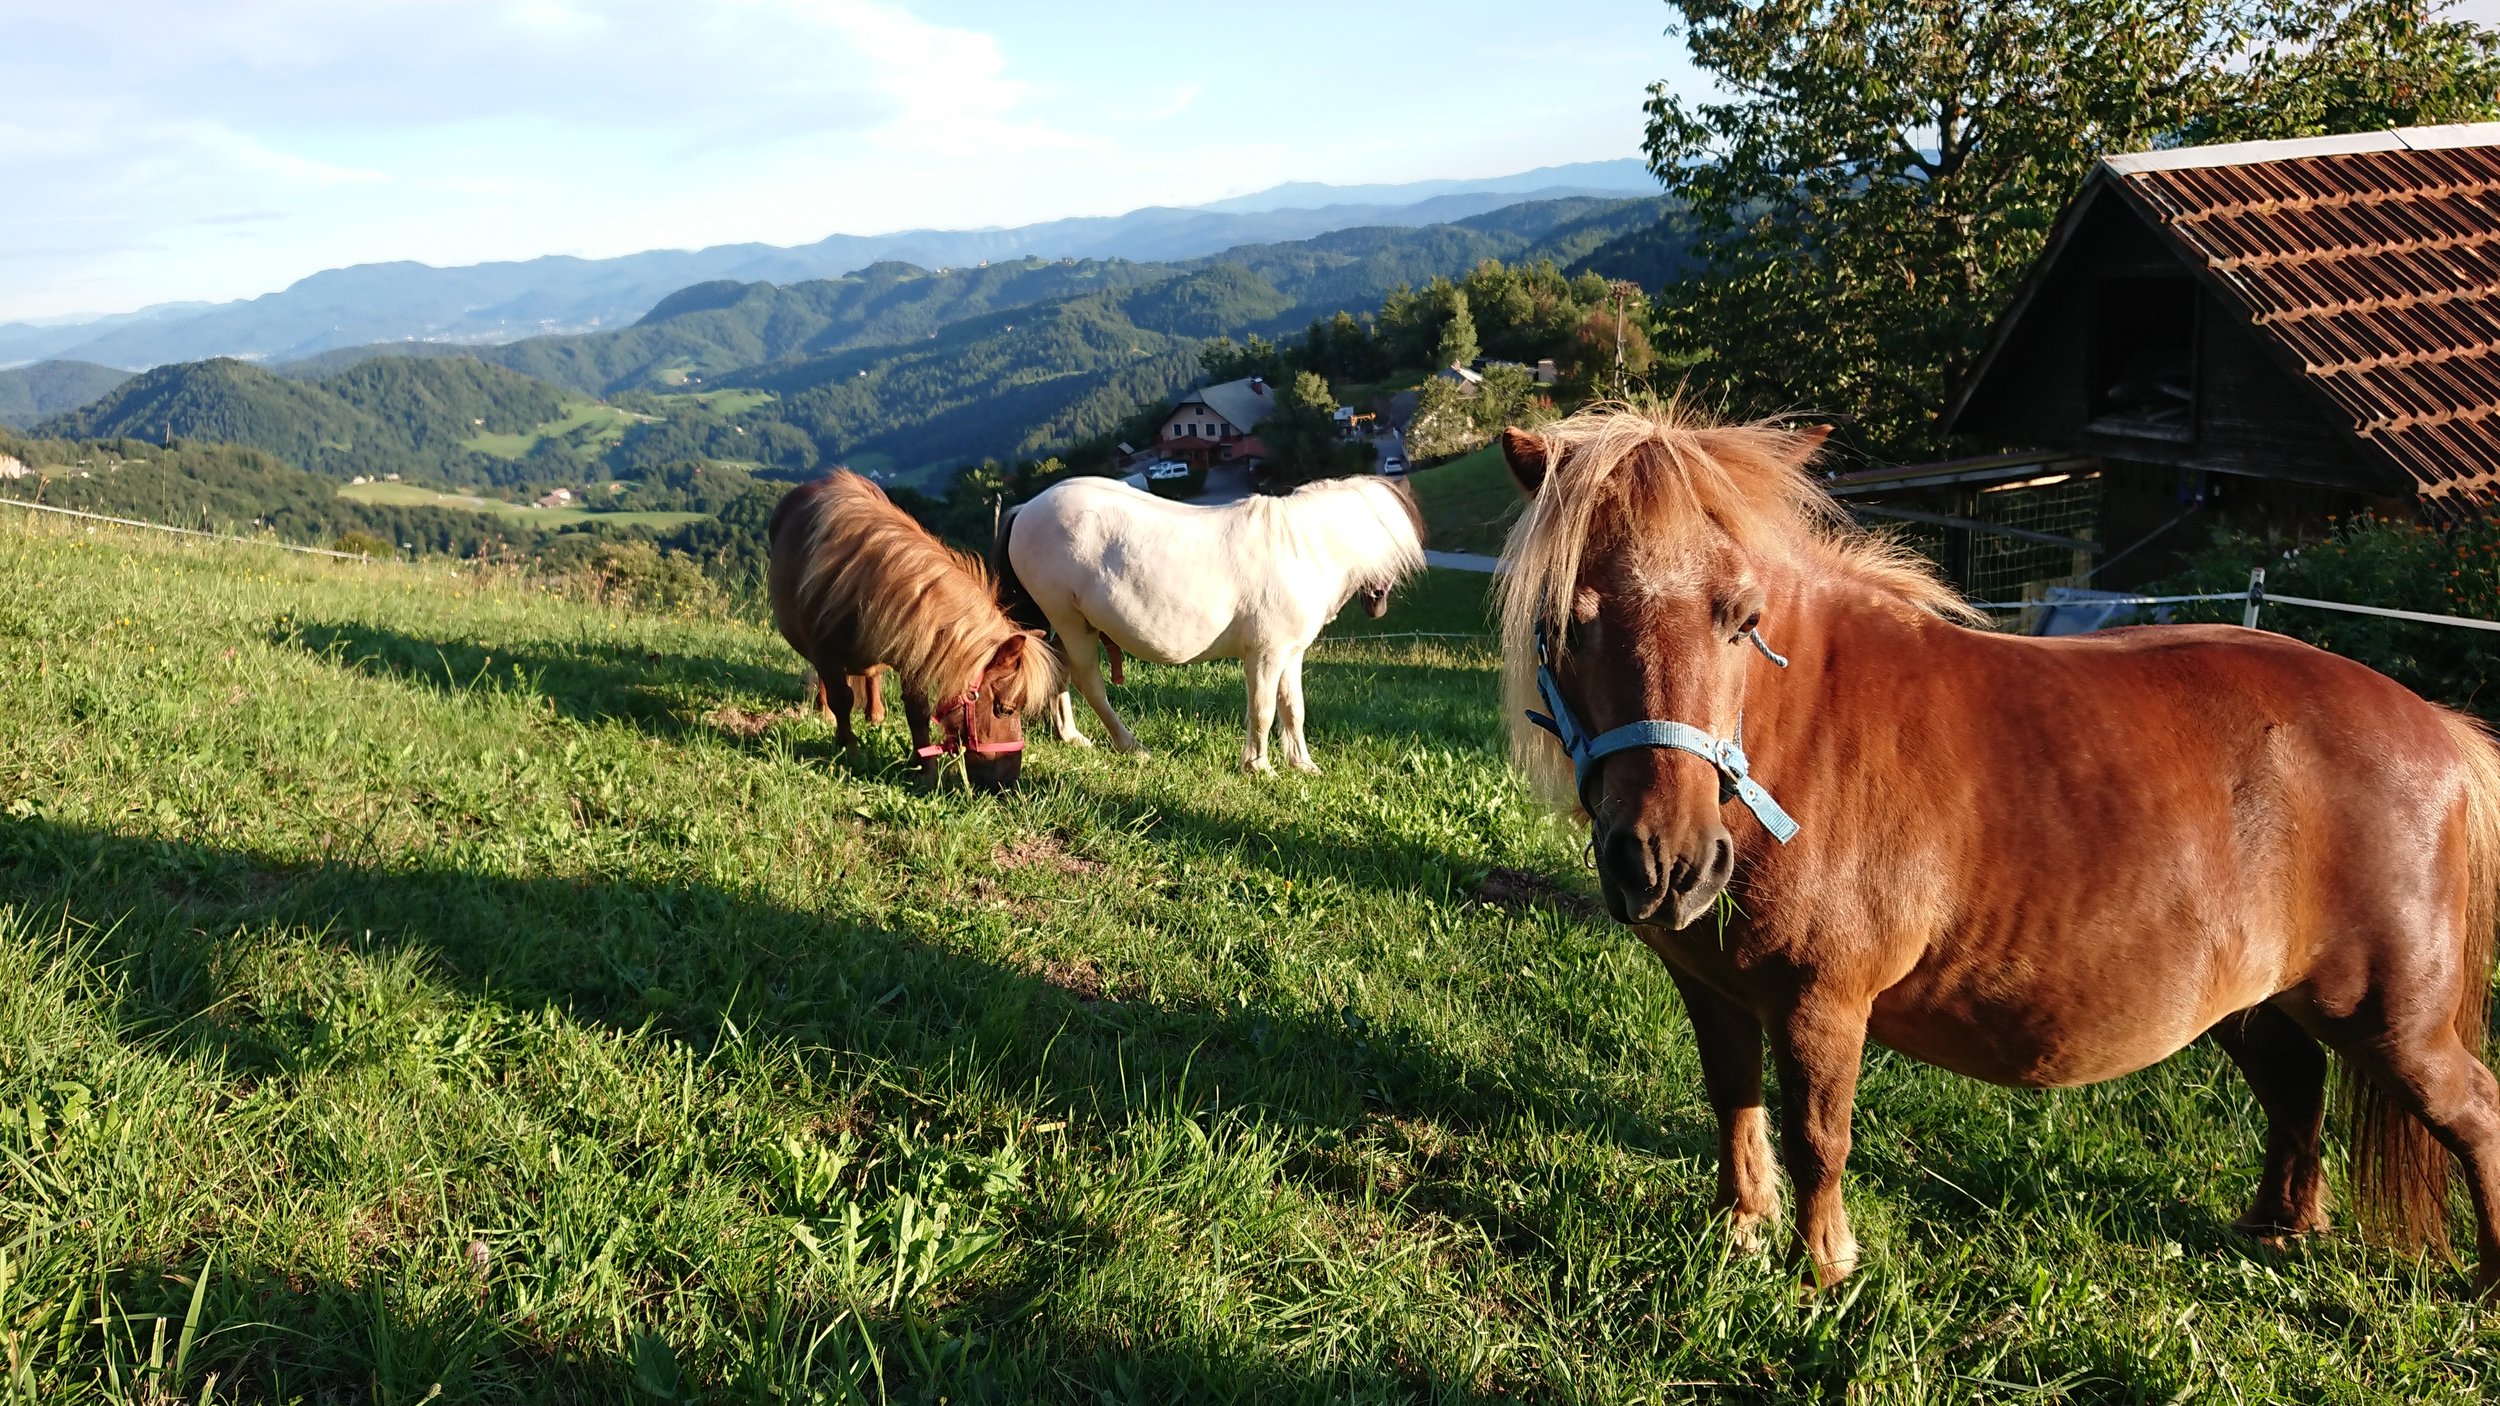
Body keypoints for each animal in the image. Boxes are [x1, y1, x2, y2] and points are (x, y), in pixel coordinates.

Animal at [768, 471, 1060, 791]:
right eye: (1006, 709)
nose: (1009, 782)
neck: (863, 587)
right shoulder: (826, 655)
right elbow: (842, 699)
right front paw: (850, 749)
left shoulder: (915, 649)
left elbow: (917, 712)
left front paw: (925, 768)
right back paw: (826, 713)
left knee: (872, 677)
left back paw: (875, 714)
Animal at [996, 473, 1424, 773]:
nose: (1377, 602)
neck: (1300, 550)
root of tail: (1026, 508)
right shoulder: (1266, 654)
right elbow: (1263, 708)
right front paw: (1259, 766)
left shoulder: (1291, 654)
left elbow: (1292, 708)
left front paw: (1302, 764)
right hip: (1070, 621)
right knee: (1089, 682)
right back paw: (1131, 746)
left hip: (1068, 625)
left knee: (1059, 669)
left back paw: (1071, 736)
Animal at [1493, 405, 2500, 1292]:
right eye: (1564, 623)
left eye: (1741, 620)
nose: (1666, 864)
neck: (1802, 734)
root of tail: (2443, 729)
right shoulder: (1714, 991)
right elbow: (1734, 1107)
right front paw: (1740, 1232)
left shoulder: (1823, 1005)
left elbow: (1819, 1137)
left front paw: (1822, 1272)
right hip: (2257, 1005)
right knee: (2298, 1089)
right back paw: (2278, 1229)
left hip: (2393, 1025)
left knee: (2475, 1113)